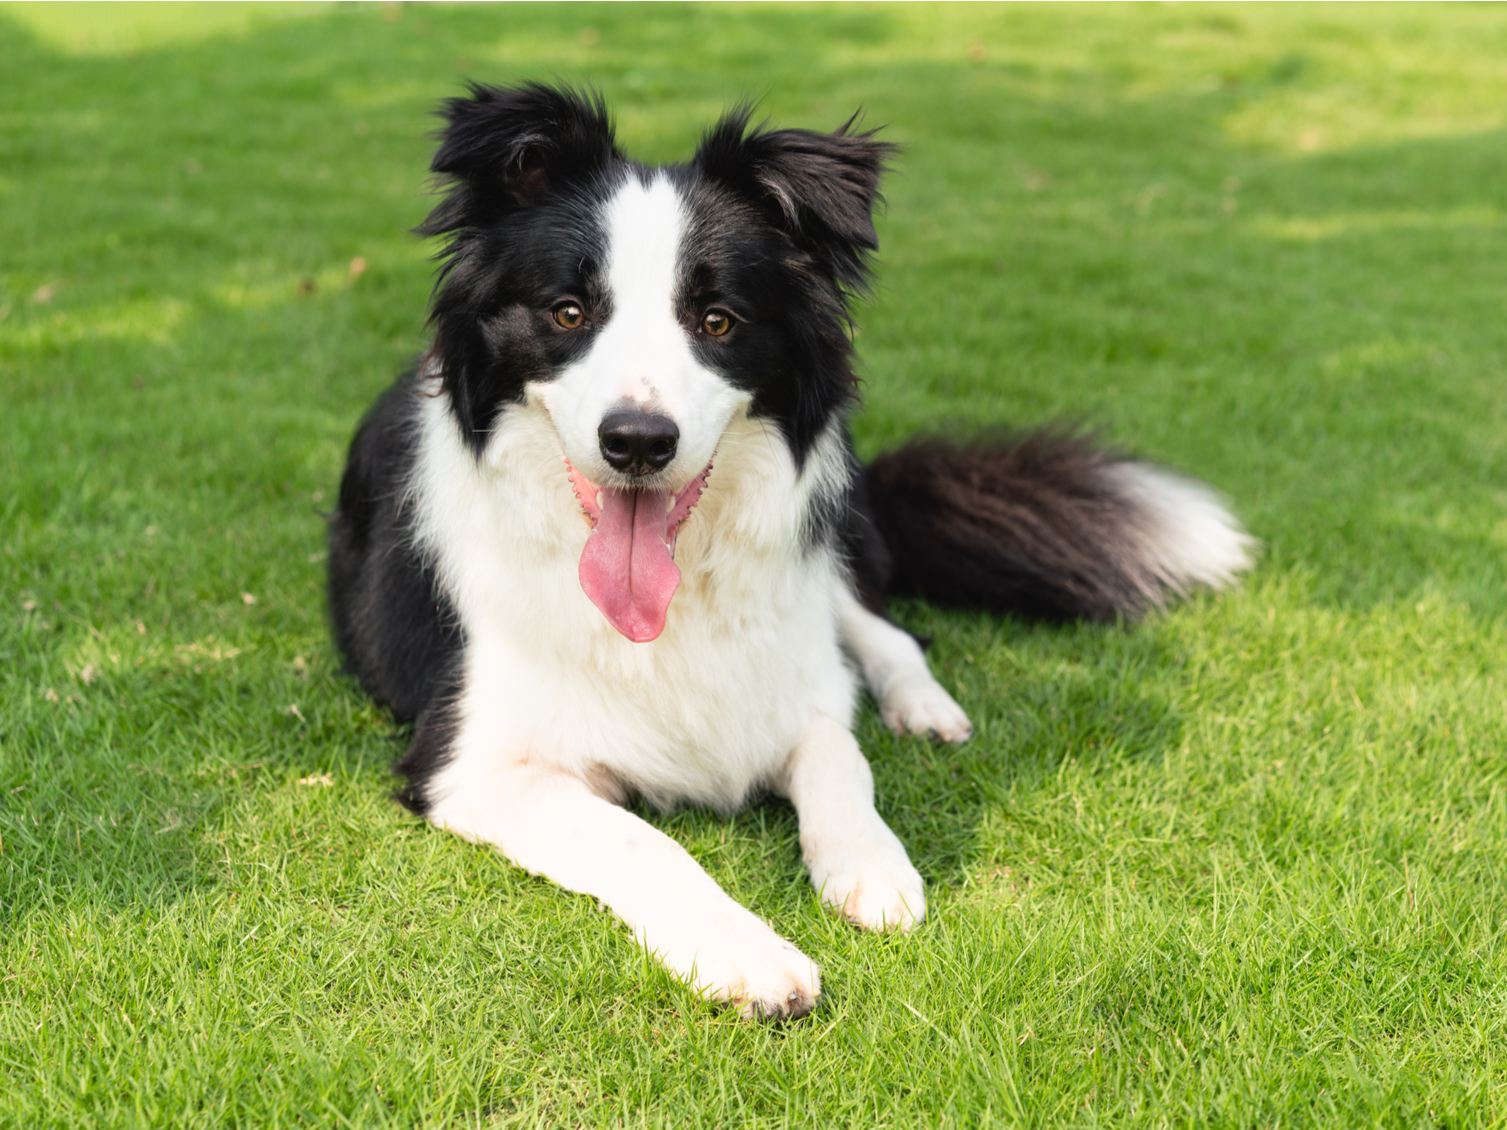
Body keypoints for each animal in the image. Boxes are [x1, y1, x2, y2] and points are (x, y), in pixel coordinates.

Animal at [333, 83, 1259, 1024]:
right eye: (568, 314)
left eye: (717, 321)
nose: (638, 442)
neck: (671, 606)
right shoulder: (470, 763)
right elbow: (635, 839)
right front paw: (747, 952)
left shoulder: (794, 671)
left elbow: (838, 752)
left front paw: (871, 863)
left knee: (887, 635)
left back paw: (925, 709)